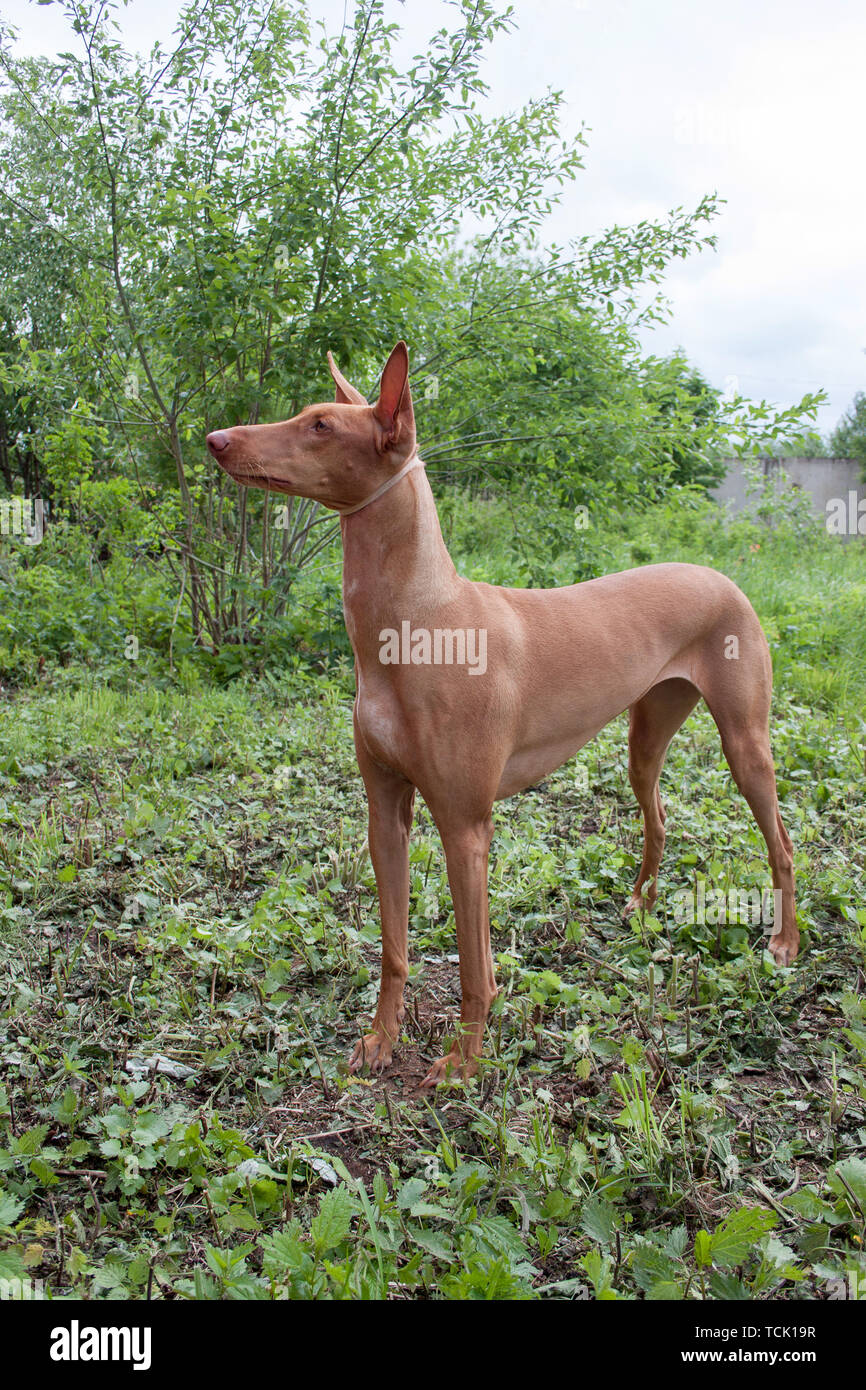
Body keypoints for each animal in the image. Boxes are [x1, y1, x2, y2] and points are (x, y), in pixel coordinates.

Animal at [208, 336, 800, 1084]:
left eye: (320, 426)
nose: (215, 439)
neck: (418, 624)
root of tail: (722, 575)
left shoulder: (465, 827)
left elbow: (474, 967)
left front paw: (464, 1060)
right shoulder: (385, 814)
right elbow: (394, 948)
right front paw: (381, 1040)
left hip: (746, 745)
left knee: (782, 844)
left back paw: (784, 942)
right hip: (644, 740)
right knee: (659, 817)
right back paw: (641, 904)